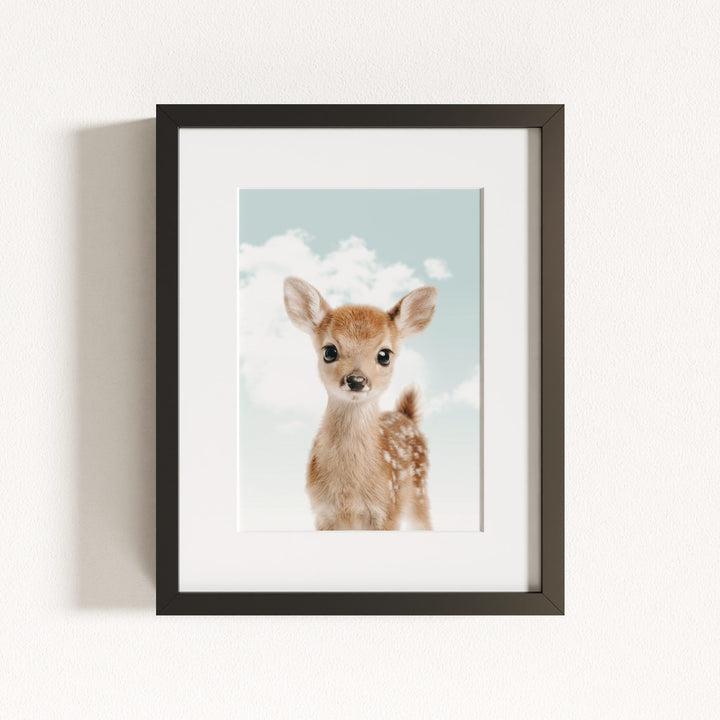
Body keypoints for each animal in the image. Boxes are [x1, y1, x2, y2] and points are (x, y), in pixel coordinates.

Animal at [283, 277, 438, 531]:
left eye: (384, 355)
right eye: (329, 351)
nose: (356, 380)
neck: (348, 493)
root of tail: (406, 415)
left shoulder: (387, 511)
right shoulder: (322, 513)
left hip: (419, 490)